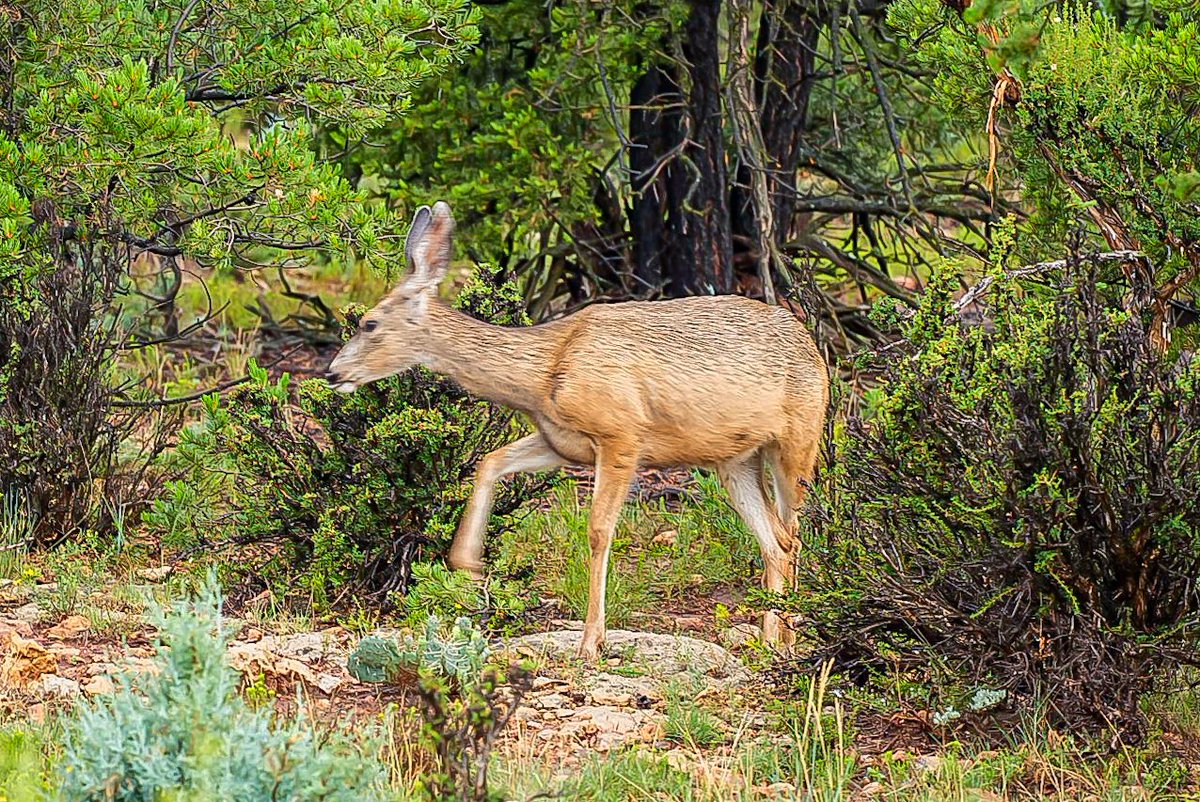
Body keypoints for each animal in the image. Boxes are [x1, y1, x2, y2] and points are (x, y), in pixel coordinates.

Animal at [328, 200, 835, 657]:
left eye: (369, 322)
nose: (333, 373)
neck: (545, 370)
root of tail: (812, 344)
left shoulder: (621, 434)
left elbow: (598, 530)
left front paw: (592, 640)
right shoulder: (562, 442)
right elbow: (490, 461)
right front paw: (467, 565)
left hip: (799, 440)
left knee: (793, 531)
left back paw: (789, 636)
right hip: (735, 461)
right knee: (775, 541)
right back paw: (771, 638)